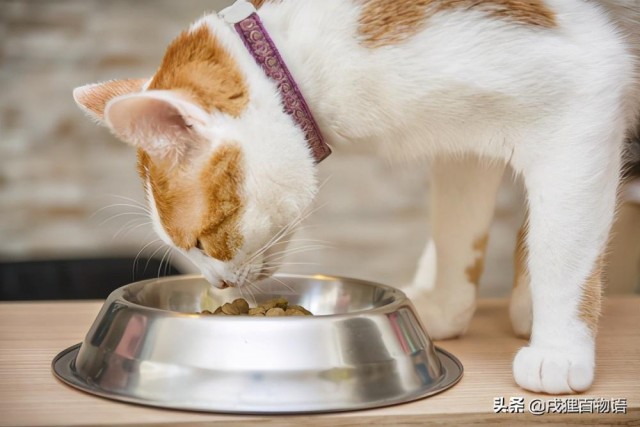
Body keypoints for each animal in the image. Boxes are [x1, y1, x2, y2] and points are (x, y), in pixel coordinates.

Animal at [72, 0, 640, 394]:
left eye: (202, 243)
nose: (219, 285)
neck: (298, 62)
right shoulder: (467, 140)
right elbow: (458, 229)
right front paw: (448, 307)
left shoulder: (587, 83)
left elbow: (562, 250)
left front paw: (560, 349)